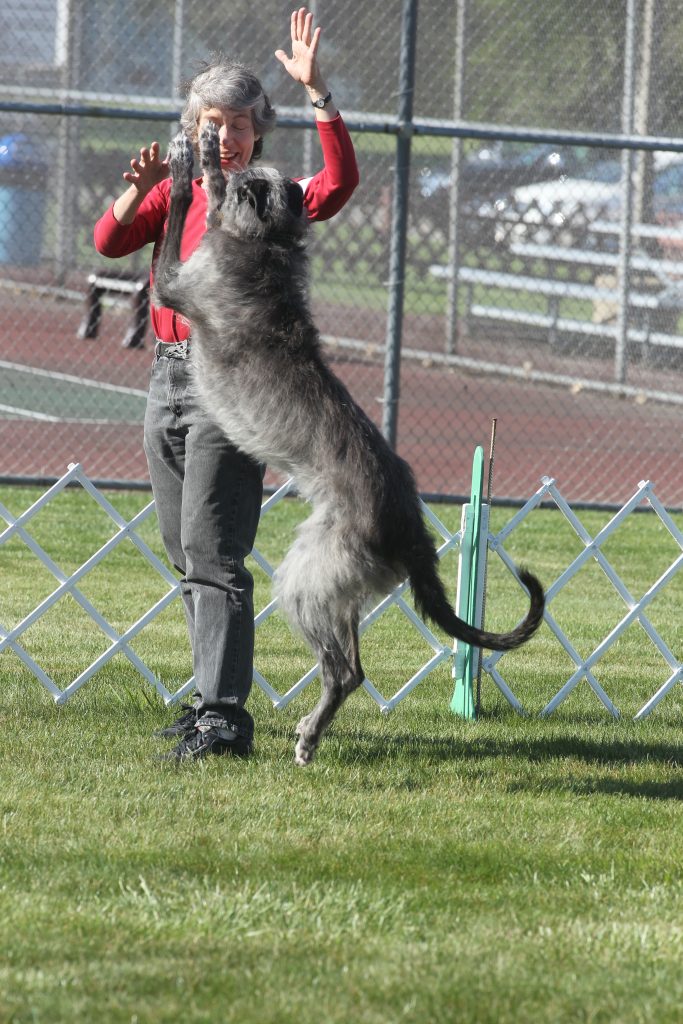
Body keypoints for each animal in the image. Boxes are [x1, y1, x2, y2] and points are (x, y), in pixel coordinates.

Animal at [153, 123, 544, 765]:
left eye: (245, 173)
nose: (227, 147)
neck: (268, 242)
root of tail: (409, 528)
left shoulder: (178, 285)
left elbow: (184, 216)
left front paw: (195, 162)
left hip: (306, 576)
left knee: (344, 670)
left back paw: (309, 736)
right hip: (342, 586)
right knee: (352, 665)